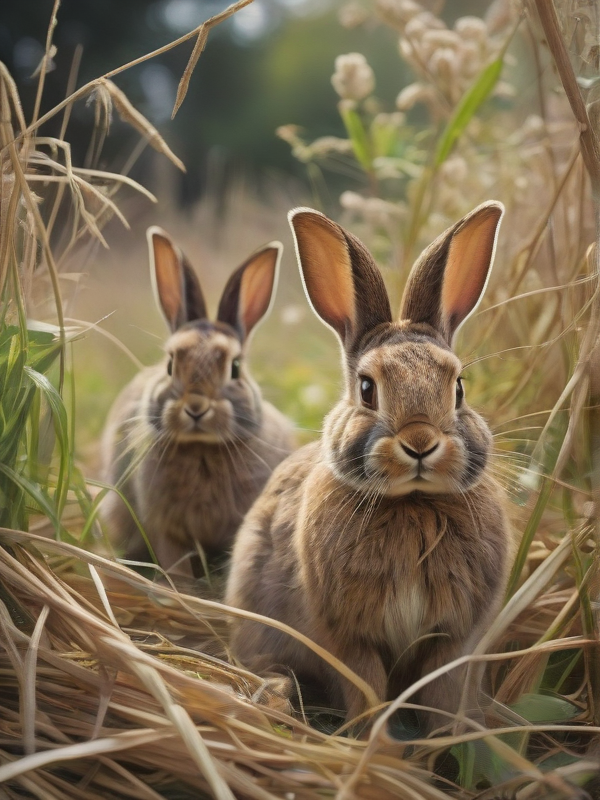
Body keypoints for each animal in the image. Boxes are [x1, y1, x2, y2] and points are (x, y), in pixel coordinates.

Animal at [101, 227, 295, 579]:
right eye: (169, 365)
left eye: (235, 368)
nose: (195, 407)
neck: (202, 448)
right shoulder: (166, 530)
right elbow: (175, 561)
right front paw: (179, 585)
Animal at [225, 202, 511, 730]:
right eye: (366, 389)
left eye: (459, 387)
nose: (419, 443)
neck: (413, 504)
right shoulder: (347, 635)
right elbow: (367, 687)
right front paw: (370, 739)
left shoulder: (452, 638)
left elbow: (440, 693)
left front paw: (445, 742)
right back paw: (275, 697)